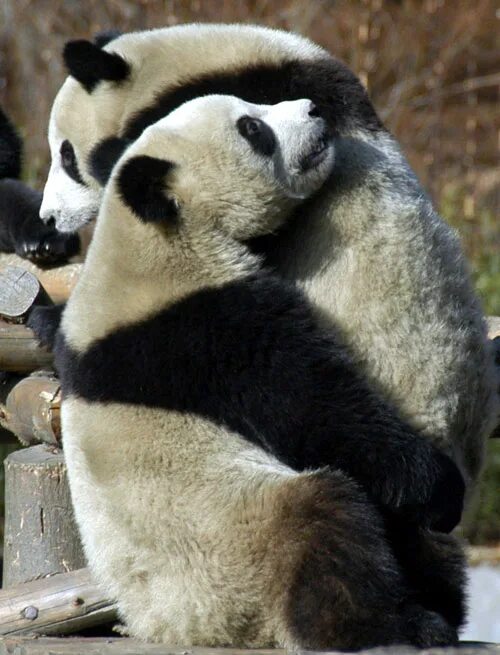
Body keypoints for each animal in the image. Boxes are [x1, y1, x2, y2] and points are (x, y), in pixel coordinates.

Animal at [55, 93, 464, 649]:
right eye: (252, 129)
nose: (313, 109)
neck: (149, 240)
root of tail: (204, 630)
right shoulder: (204, 331)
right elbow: (319, 410)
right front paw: (440, 487)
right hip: (235, 538)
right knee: (326, 525)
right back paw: (394, 621)